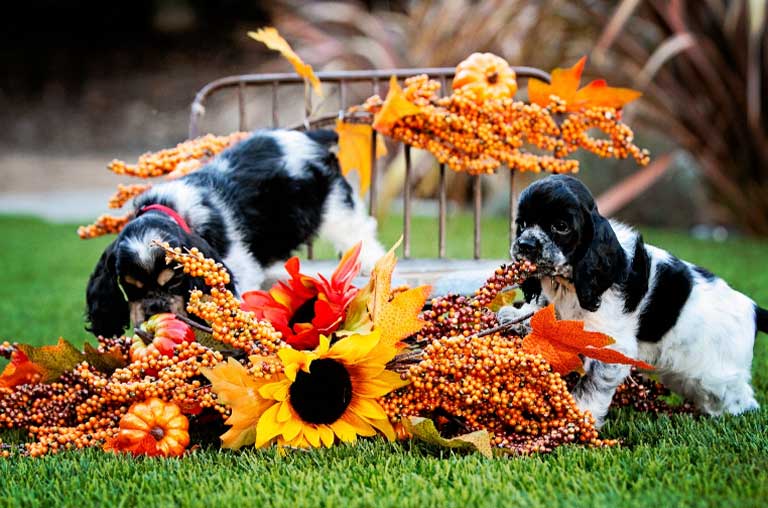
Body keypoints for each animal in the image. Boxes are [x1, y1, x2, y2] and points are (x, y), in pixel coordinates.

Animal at [86, 129, 384, 340]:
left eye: (175, 281)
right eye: (129, 286)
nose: (154, 310)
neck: (171, 208)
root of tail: (309, 135)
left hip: (334, 206)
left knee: (359, 231)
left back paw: (369, 260)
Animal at [500, 177, 764, 426]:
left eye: (561, 227)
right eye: (522, 224)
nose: (524, 245)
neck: (568, 284)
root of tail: (753, 308)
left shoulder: (611, 350)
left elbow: (591, 387)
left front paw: (578, 421)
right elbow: (544, 310)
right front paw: (517, 316)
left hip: (716, 377)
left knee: (743, 400)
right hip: (686, 377)